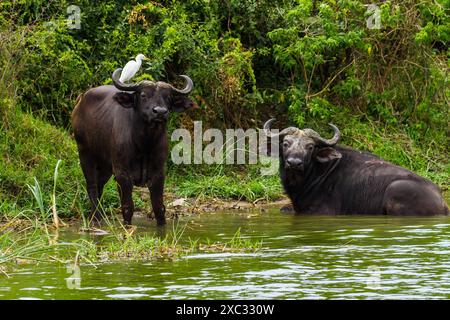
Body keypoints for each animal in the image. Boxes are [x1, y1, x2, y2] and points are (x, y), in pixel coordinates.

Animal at [72, 69, 195, 225]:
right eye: (143, 95)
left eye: (168, 97)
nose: (160, 112)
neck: (145, 144)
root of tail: (80, 101)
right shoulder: (122, 173)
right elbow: (127, 206)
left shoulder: (159, 172)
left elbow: (159, 207)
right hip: (85, 154)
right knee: (92, 187)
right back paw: (95, 218)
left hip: (105, 165)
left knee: (99, 186)